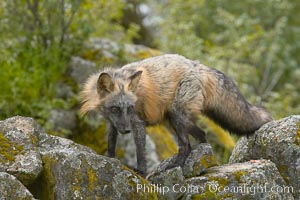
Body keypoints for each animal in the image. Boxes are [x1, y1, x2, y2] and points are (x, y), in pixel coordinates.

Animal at [79, 54, 272, 176]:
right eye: (115, 109)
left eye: (130, 107)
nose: (126, 131)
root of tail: (198, 65)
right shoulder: (112, 123)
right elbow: (111, 143)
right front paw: (110, 159)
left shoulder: (137, 123)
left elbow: (140, 152)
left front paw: (141, 172)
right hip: (175, 120)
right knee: (202, 135)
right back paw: (204, 159)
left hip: (177, 117)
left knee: (186, 146)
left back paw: (176, 166)